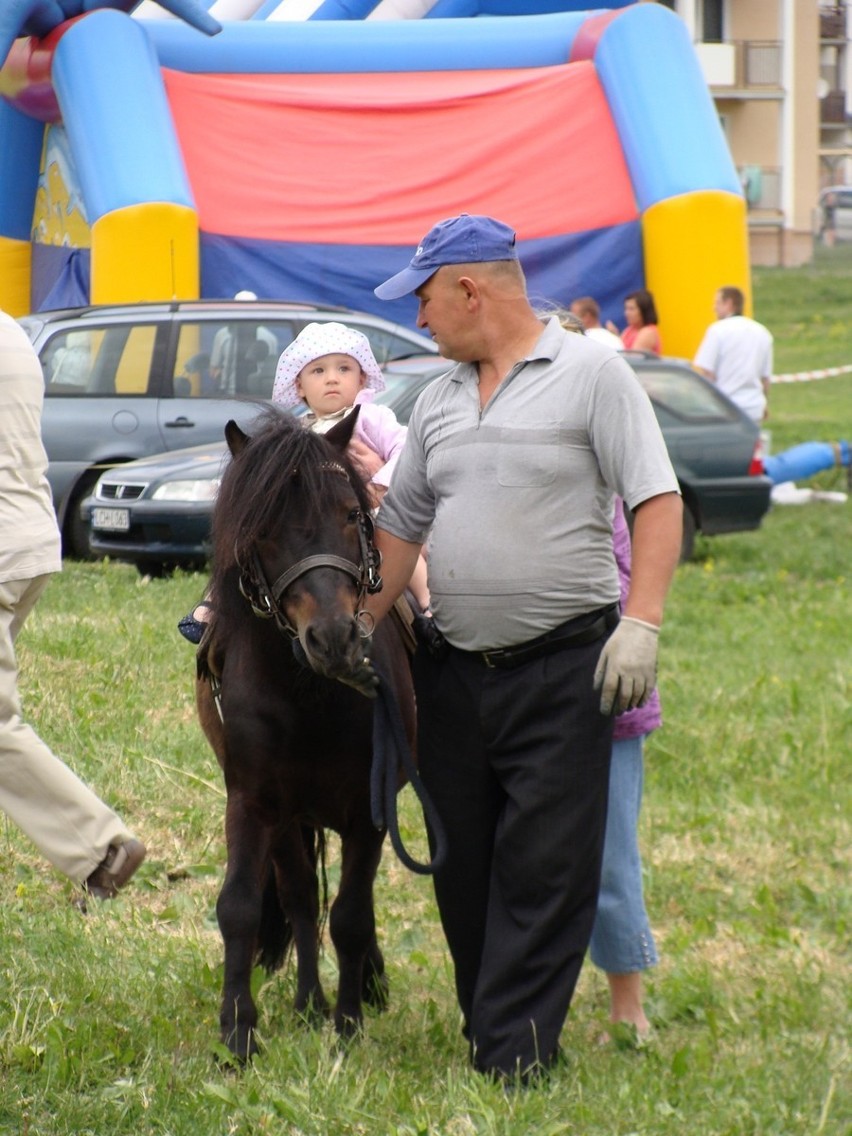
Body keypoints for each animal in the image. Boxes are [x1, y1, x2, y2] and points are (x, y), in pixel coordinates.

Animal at [197, 406, 418, 1054]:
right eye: (262, 527)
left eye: (349, 514)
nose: (335, 637)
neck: (311, 694)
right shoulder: (254, 802)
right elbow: (242, 906)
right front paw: (239, 1029)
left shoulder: (368, 810)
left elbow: (351, 916)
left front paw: (348, 1023)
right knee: (298, 897)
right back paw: (308, 1001)